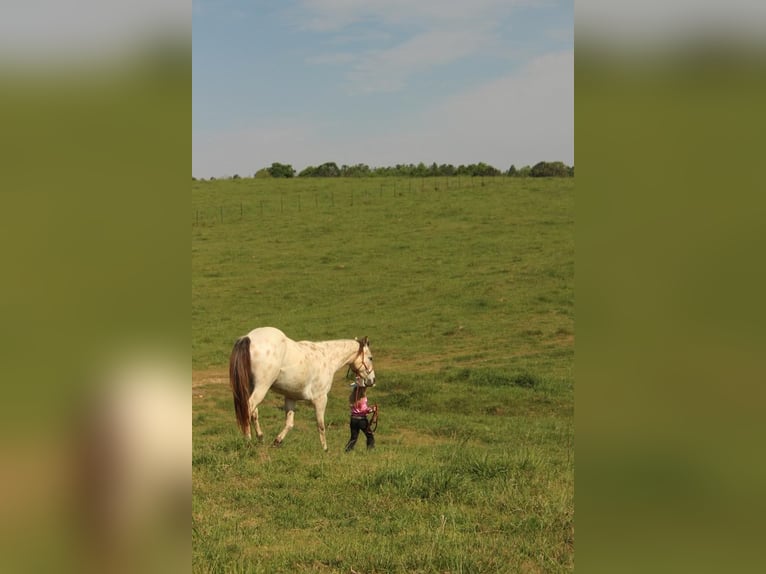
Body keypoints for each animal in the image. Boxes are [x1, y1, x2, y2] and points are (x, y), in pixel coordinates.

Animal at [228, 326, 378, 452]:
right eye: (370, 358)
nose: (372, 381)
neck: (326, 357)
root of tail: (248, 337)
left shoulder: (290, 397)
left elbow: (289, 423)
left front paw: (277, 441)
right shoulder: (321, 399)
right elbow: (321, 425)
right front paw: (325, 449)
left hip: (250, 387)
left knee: (254, 412)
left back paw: (260, 438)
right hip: (261, 387)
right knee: (249, 408)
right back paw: (248, 441)